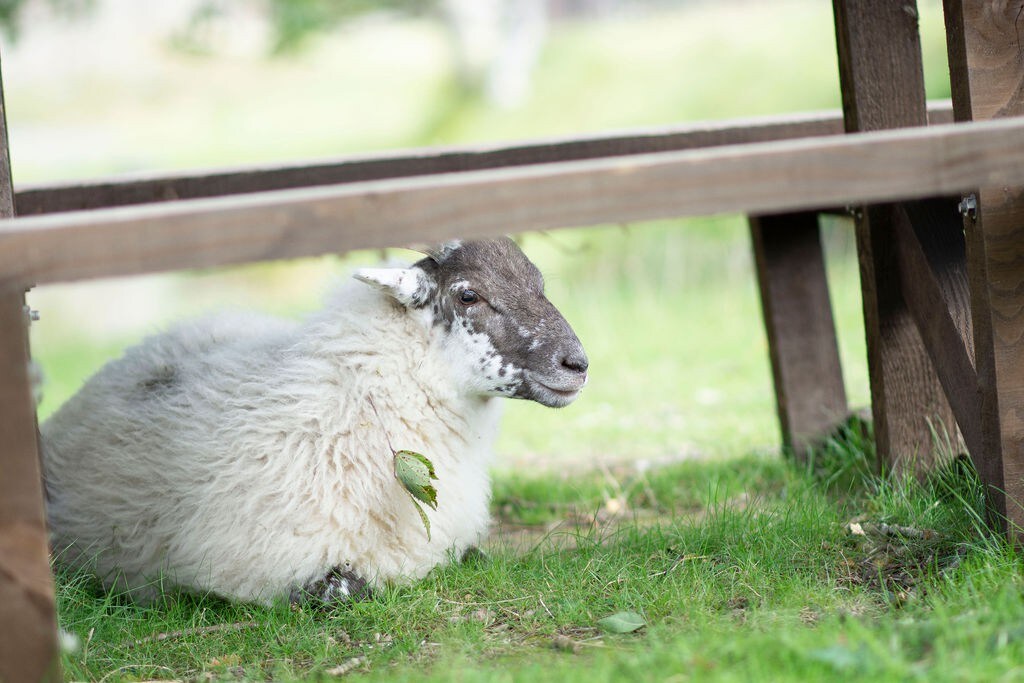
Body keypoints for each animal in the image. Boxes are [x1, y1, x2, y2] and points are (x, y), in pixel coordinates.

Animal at [39, 237, 589, 606]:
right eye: (468, 295)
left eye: (538, 284)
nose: (577, 364)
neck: (360, 398)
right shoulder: (269, 567)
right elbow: (346, 590)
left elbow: (472, 554)